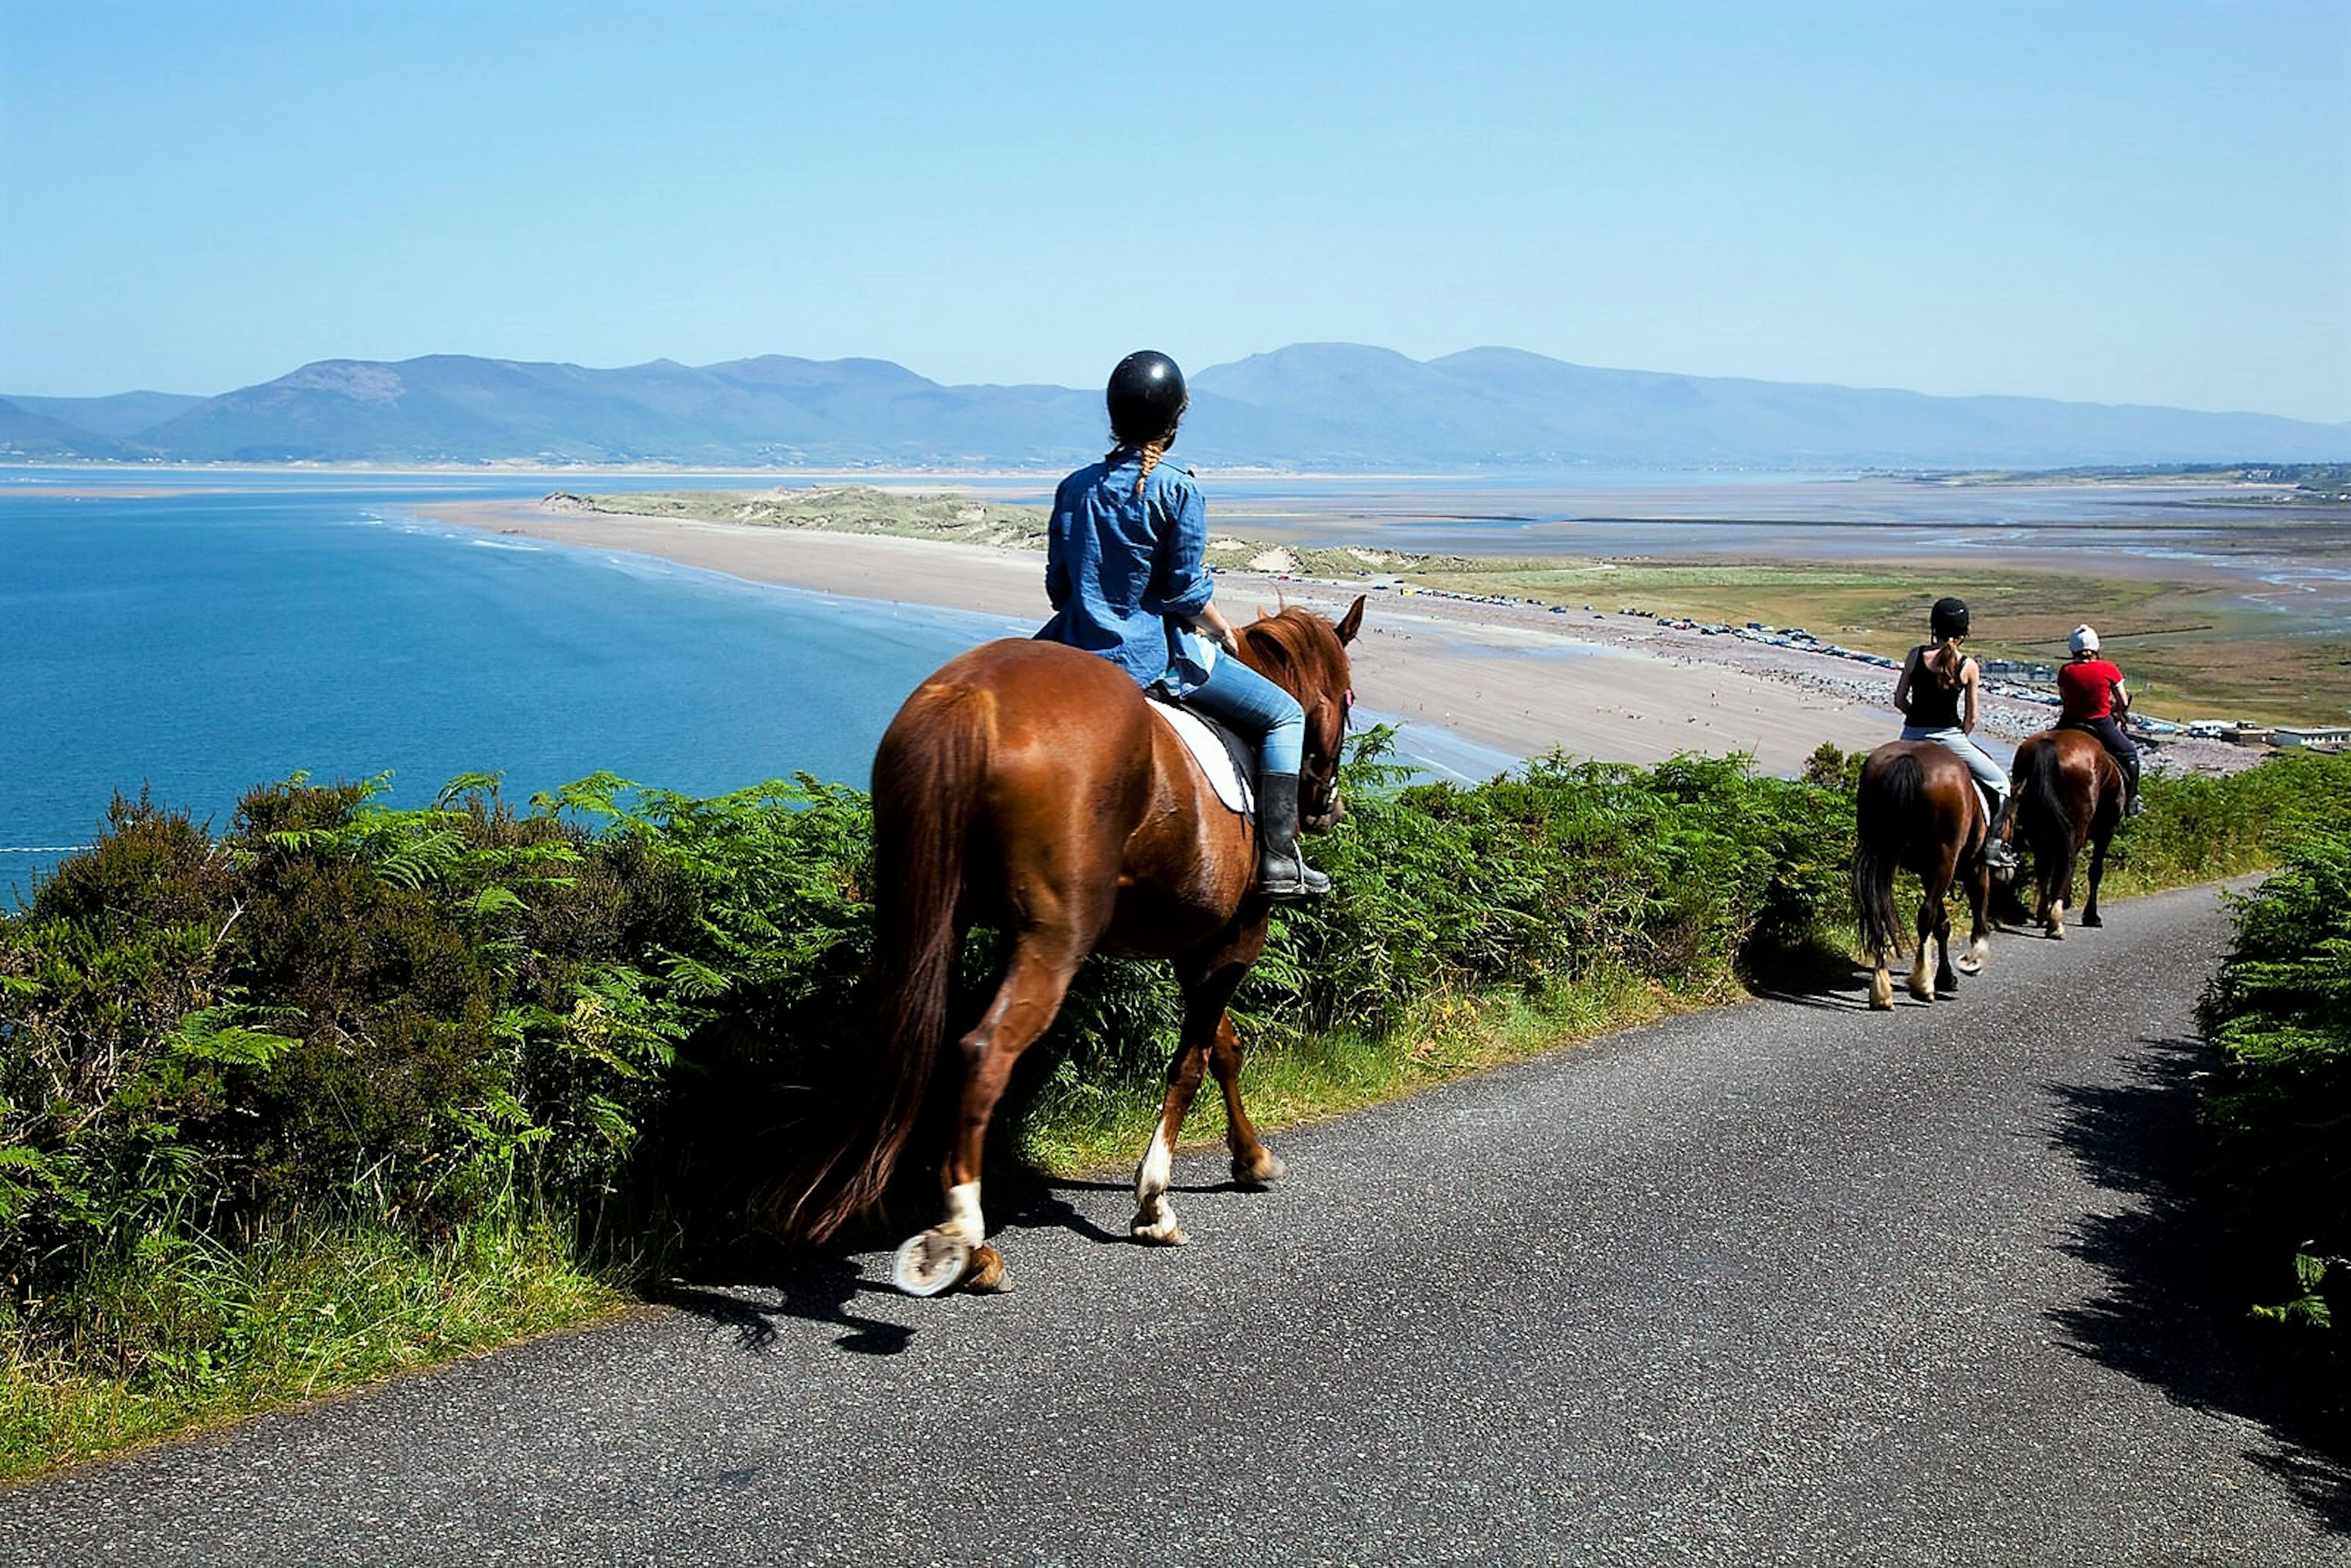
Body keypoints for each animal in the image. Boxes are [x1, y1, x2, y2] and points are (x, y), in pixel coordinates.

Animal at [1862, 743, 1993, 1011]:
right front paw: (1973, 961)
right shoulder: (1975, 867)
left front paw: (1946, 976)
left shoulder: (1927, 871)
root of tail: (1909, 758)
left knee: (1879, 914)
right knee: (1926, 915)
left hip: (1884, 857)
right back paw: (1922, 984)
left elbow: (1943, 925)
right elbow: (1978, 914)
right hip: (1945, 860)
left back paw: (1881, 988)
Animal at [2003, 729, 2134, 940]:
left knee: (2044, 867)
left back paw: (2044, 914)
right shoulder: (2106, 832)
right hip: (2075, 829)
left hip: (2035, 828)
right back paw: (2056, 921)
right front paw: (2091, 916)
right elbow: (2095, 871)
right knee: (2066, 863)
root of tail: (2049, 744)